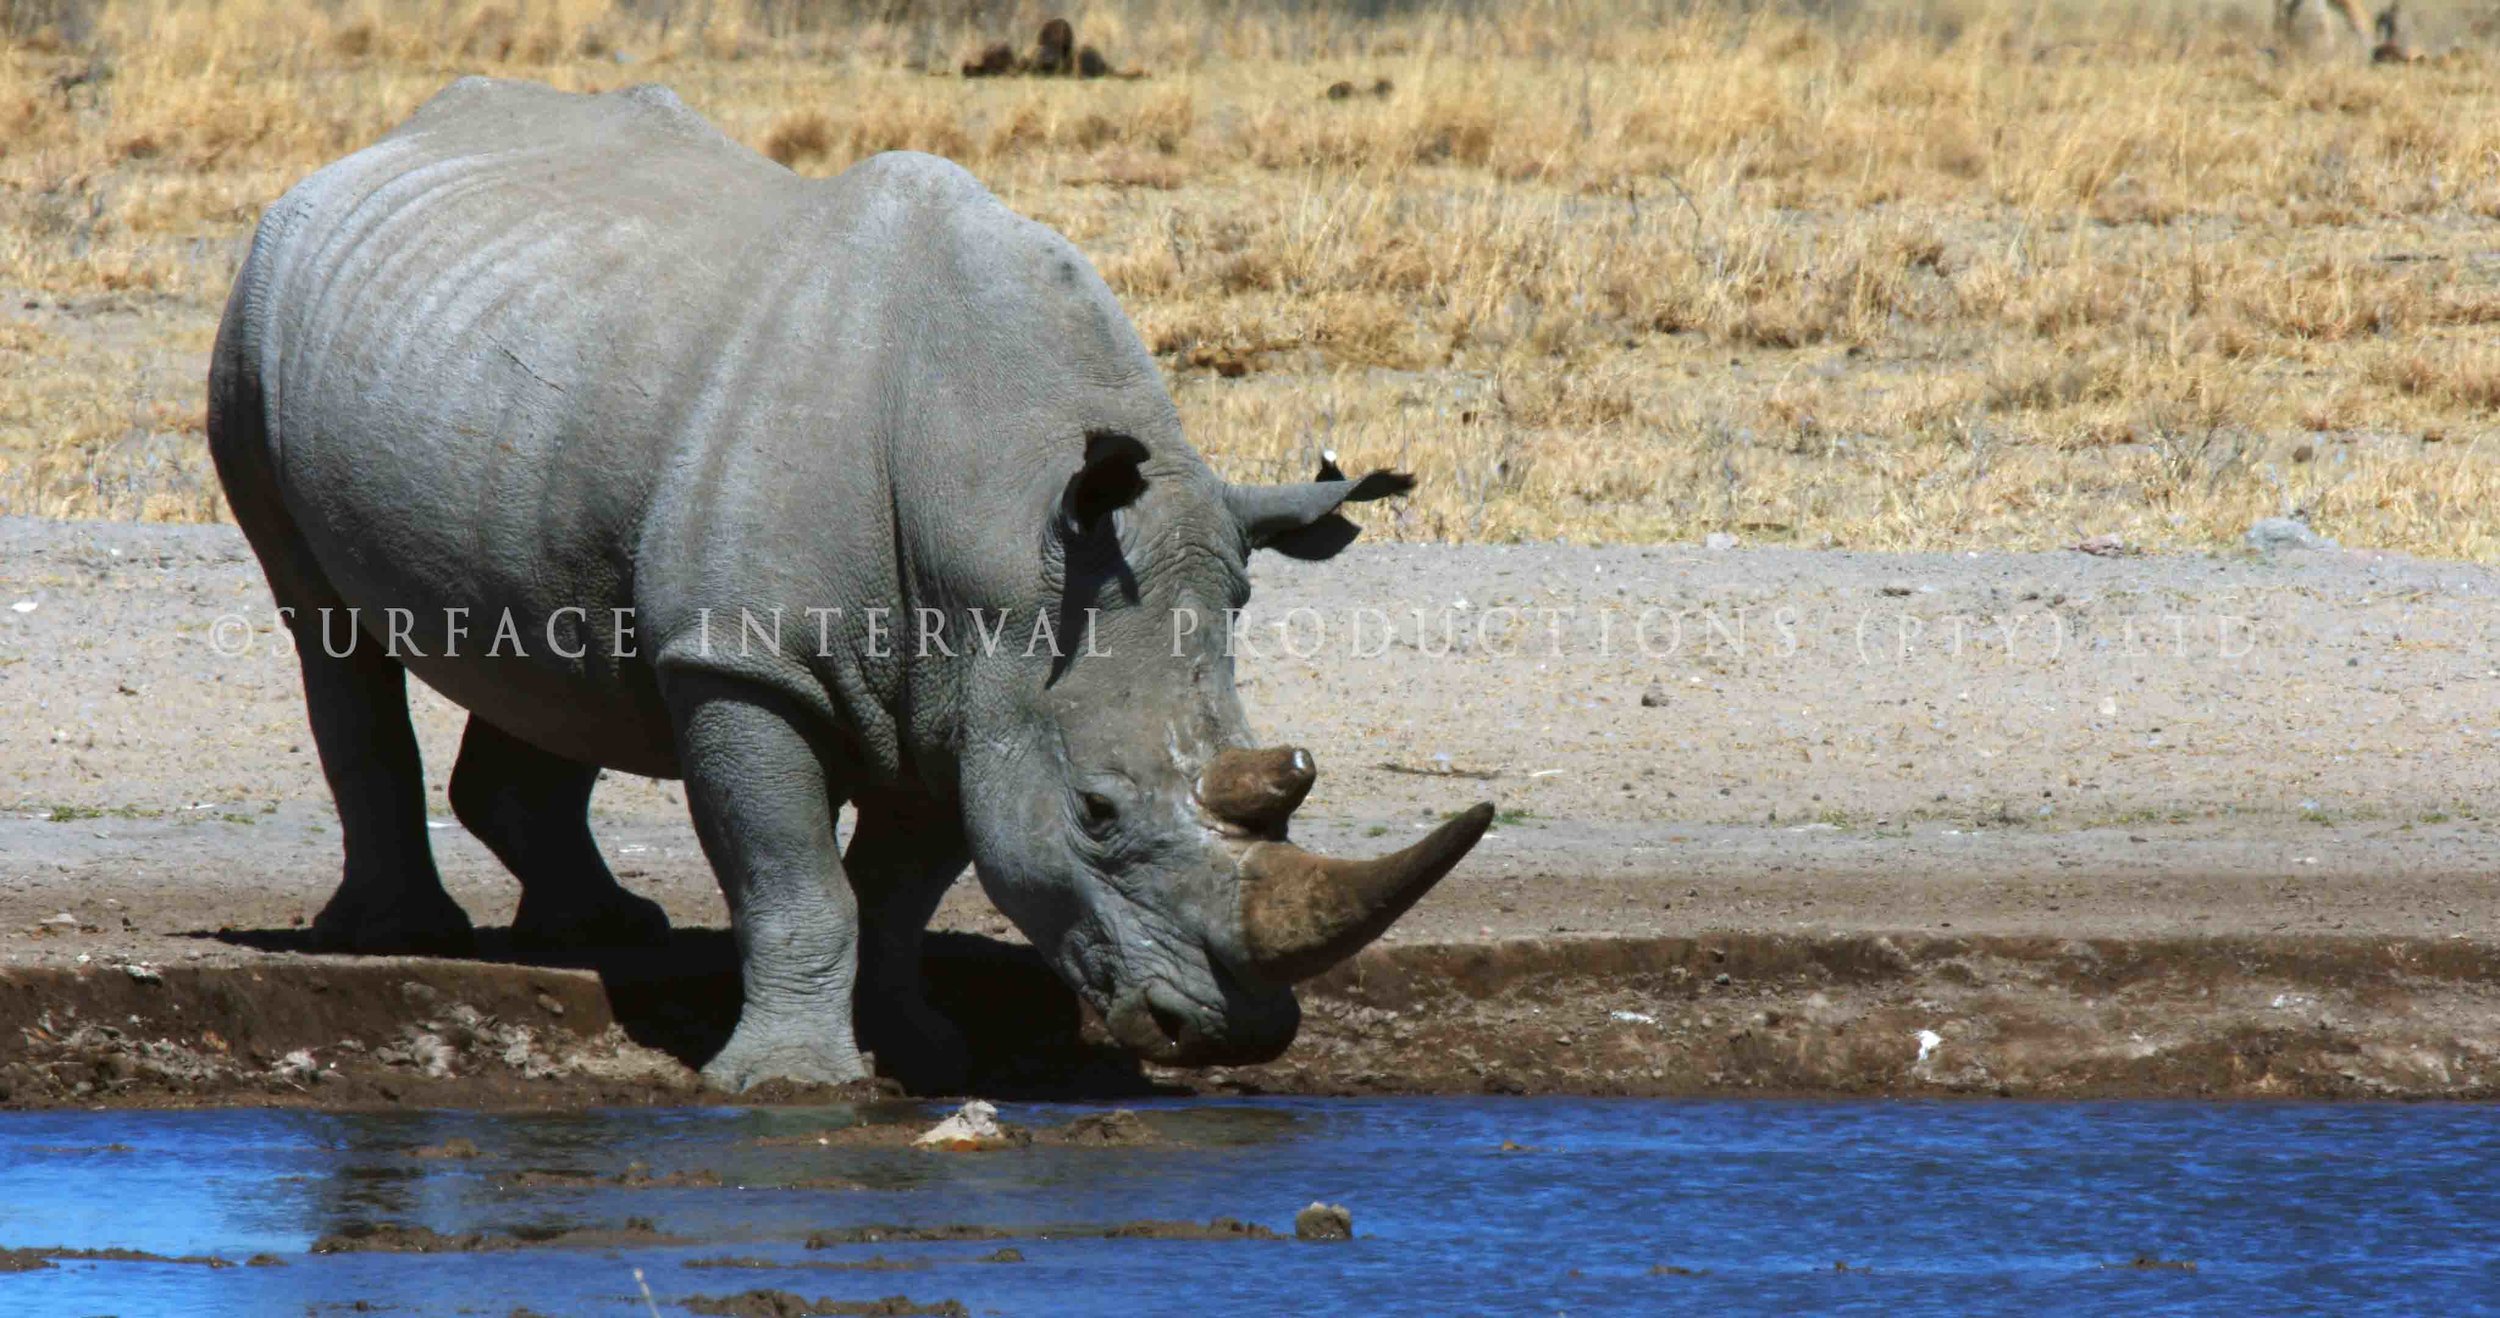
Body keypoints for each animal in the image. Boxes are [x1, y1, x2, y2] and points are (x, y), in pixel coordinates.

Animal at [206, 77, 1493, 1091]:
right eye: (1096, 812)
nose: (1232, 1034)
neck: (1006, 522)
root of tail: (375, 145)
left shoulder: (964, 689)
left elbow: (895, 891)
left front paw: (918, 1053)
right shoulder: (749, 662)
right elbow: (797, 875)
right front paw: (785, 1085)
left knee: (557, 632)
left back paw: (604, 925)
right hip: (253, 319)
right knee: (324, 627)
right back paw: (398, 933)